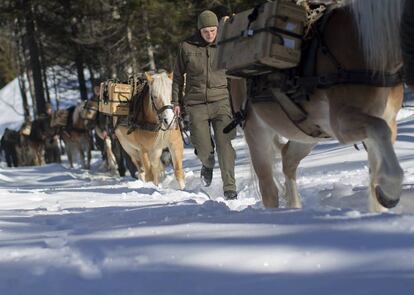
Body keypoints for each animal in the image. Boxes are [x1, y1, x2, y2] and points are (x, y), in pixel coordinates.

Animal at [231, 0, 406, 213]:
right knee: (269, 189)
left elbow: (375, 169)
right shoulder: (343, 123)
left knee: (288, 160)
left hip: (307, 132)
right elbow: (380, 130)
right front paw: (390, 188)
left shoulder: (388, 120)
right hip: (256, 131)